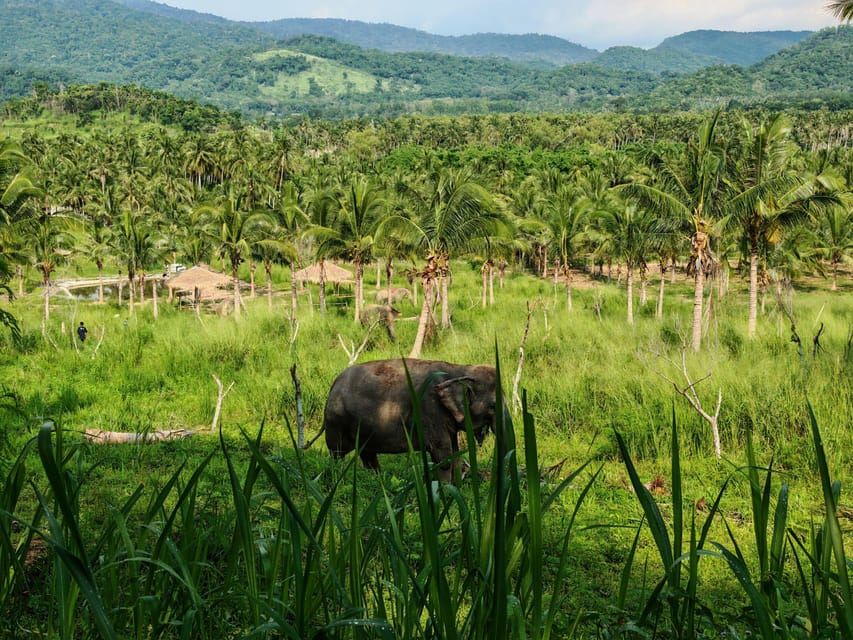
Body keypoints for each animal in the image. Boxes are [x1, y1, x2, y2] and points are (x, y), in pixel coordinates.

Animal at [323, 358, 497, 482]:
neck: (460, 369)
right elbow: (443, 456)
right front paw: (445, 493)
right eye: (493, 406)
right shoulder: (429, 410)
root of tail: (333, 384)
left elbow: (454, 453)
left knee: (368, 455)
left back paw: (378, 480)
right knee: (337, 453)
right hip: (336, 423)